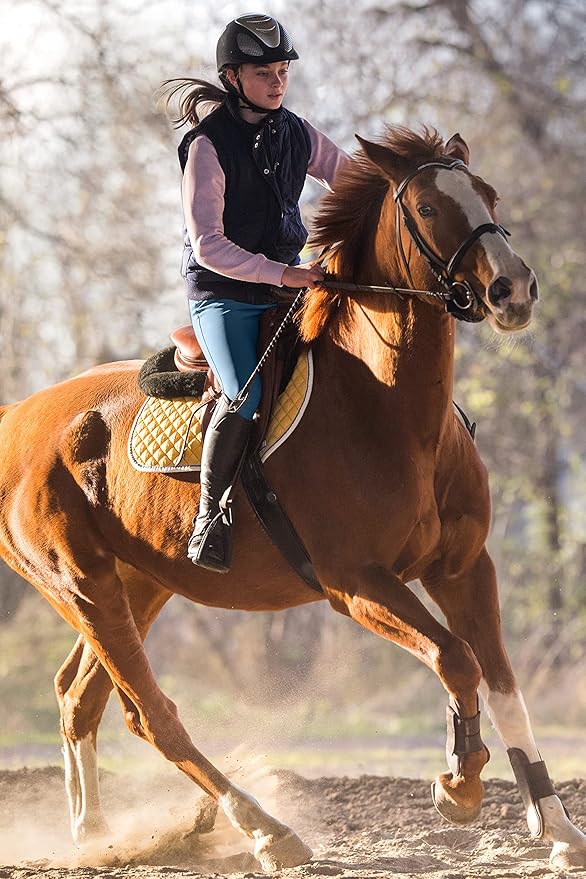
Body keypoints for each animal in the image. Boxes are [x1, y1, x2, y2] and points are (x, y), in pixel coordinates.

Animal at [0, 126, 584, 872]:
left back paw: (95, 835)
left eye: (488, 195)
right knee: (150, 714)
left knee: (81, 698)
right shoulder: (356, 583)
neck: (387, 410)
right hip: (82, 587)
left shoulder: (463, 569)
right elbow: (457, 658)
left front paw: (558, 827)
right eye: (426, 207)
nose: (514, 289)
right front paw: (459, 783)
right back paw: (265, 829)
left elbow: (506, 685)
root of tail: (18, 415)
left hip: (136, 585)